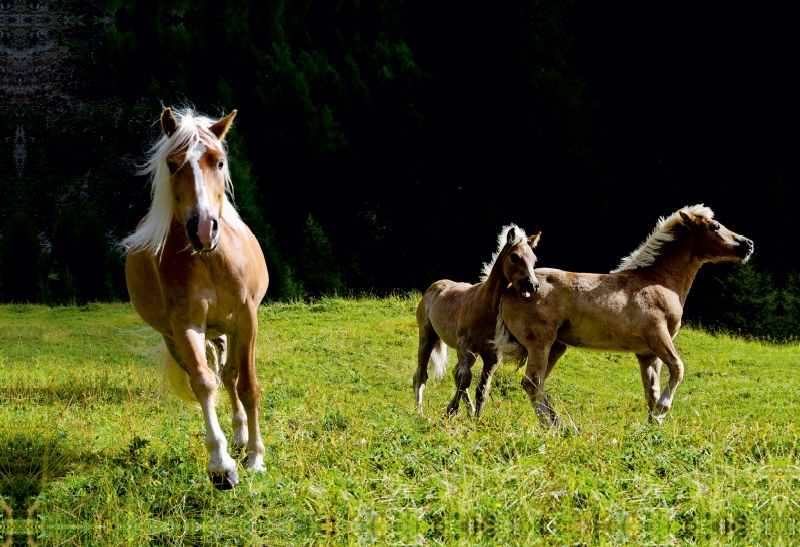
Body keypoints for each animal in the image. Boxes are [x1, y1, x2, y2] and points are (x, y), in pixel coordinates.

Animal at [120, 108, 268, 492]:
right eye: (172, 165)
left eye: (219, 162)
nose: (202, 229)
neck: (210, 260)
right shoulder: (186, 325)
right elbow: (203, 383)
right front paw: (221, 466)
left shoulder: (246, 319)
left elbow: (248, 386)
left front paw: (256, 458)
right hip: (185, 337)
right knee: (217, 376)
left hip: (229, 330)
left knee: (231, 376)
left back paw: (243, 438)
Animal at [416, 225, 540, 418]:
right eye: (515, 256)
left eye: (534, 260)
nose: (533, 285)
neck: (485, 308)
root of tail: (433, 287)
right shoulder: (465, 347)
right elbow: (465, 379)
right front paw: (451, 410)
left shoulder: (492, 356)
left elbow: (482, 389)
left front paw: (477, 417)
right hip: (427, 336)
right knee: (421, 375)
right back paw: (418, 410)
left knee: (455, 372)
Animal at [490, 204, 752, 424]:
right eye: (715, 226)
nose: (748, 244)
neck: (657, 282)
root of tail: (514, 288)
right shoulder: (658, 336)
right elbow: (678, 369)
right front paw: (662, 411)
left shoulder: (647, 353)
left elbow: (651, 391)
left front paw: (652, 426)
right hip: (540, 344)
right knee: (532, 384)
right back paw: (555, 427)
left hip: (556, 347)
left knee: (538, 384)